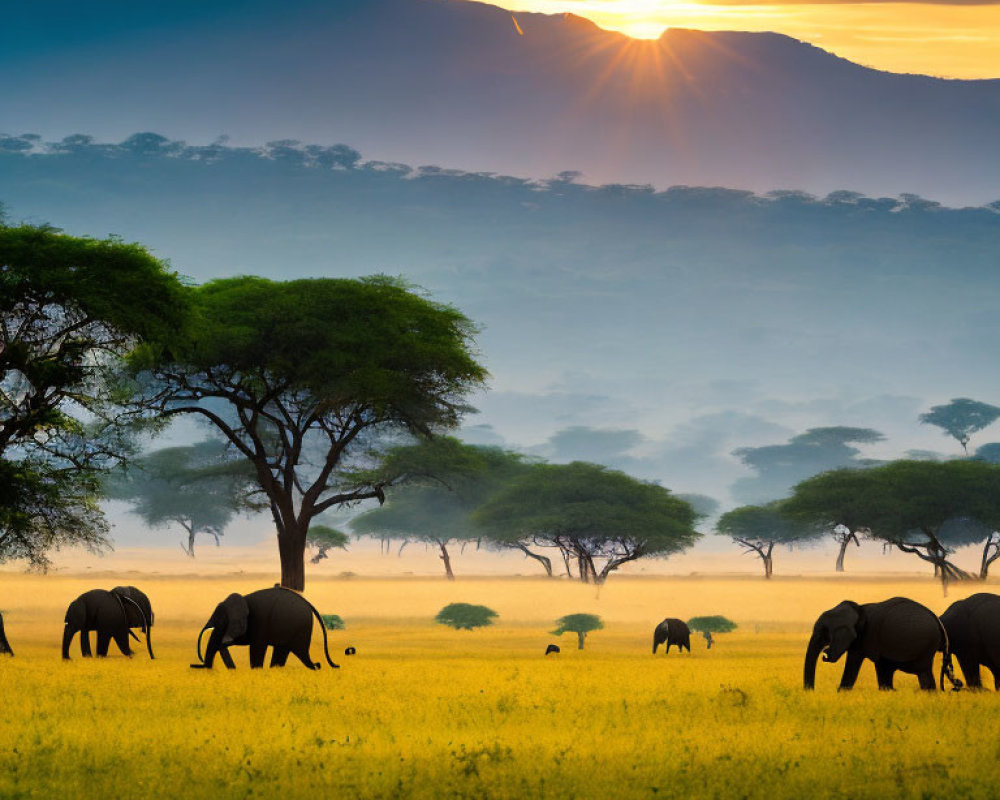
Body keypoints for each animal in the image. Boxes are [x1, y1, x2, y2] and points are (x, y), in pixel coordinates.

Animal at [190, 588, 340, 668]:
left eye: (220, 622)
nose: (196, 665)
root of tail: (308, 604)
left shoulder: (260, 622)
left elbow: (257, 648)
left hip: (301, 627)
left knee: (301, 653)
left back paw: (315, 667)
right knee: (284, 650)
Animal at [800, 596, 956, 692]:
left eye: (823, 631)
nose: (824, 655)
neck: (859, 610)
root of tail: (938, 622)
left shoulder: (866, 637)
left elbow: (854, 665)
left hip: (924, 645)